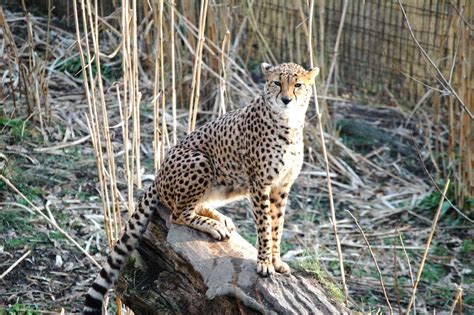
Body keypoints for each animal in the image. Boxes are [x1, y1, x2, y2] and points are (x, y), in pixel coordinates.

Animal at [83, 61, 320, 314]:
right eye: (277, 82)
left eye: (298, 85)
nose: (286, 99)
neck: (289, 122)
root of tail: (157, 176)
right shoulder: (260, 185)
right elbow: (265, 227)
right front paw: (264, 263)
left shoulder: (281, 187)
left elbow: (277, 226)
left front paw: (276, 260)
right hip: (201, 161)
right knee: (178, 214)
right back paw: (212, 226)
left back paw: (220, 218)